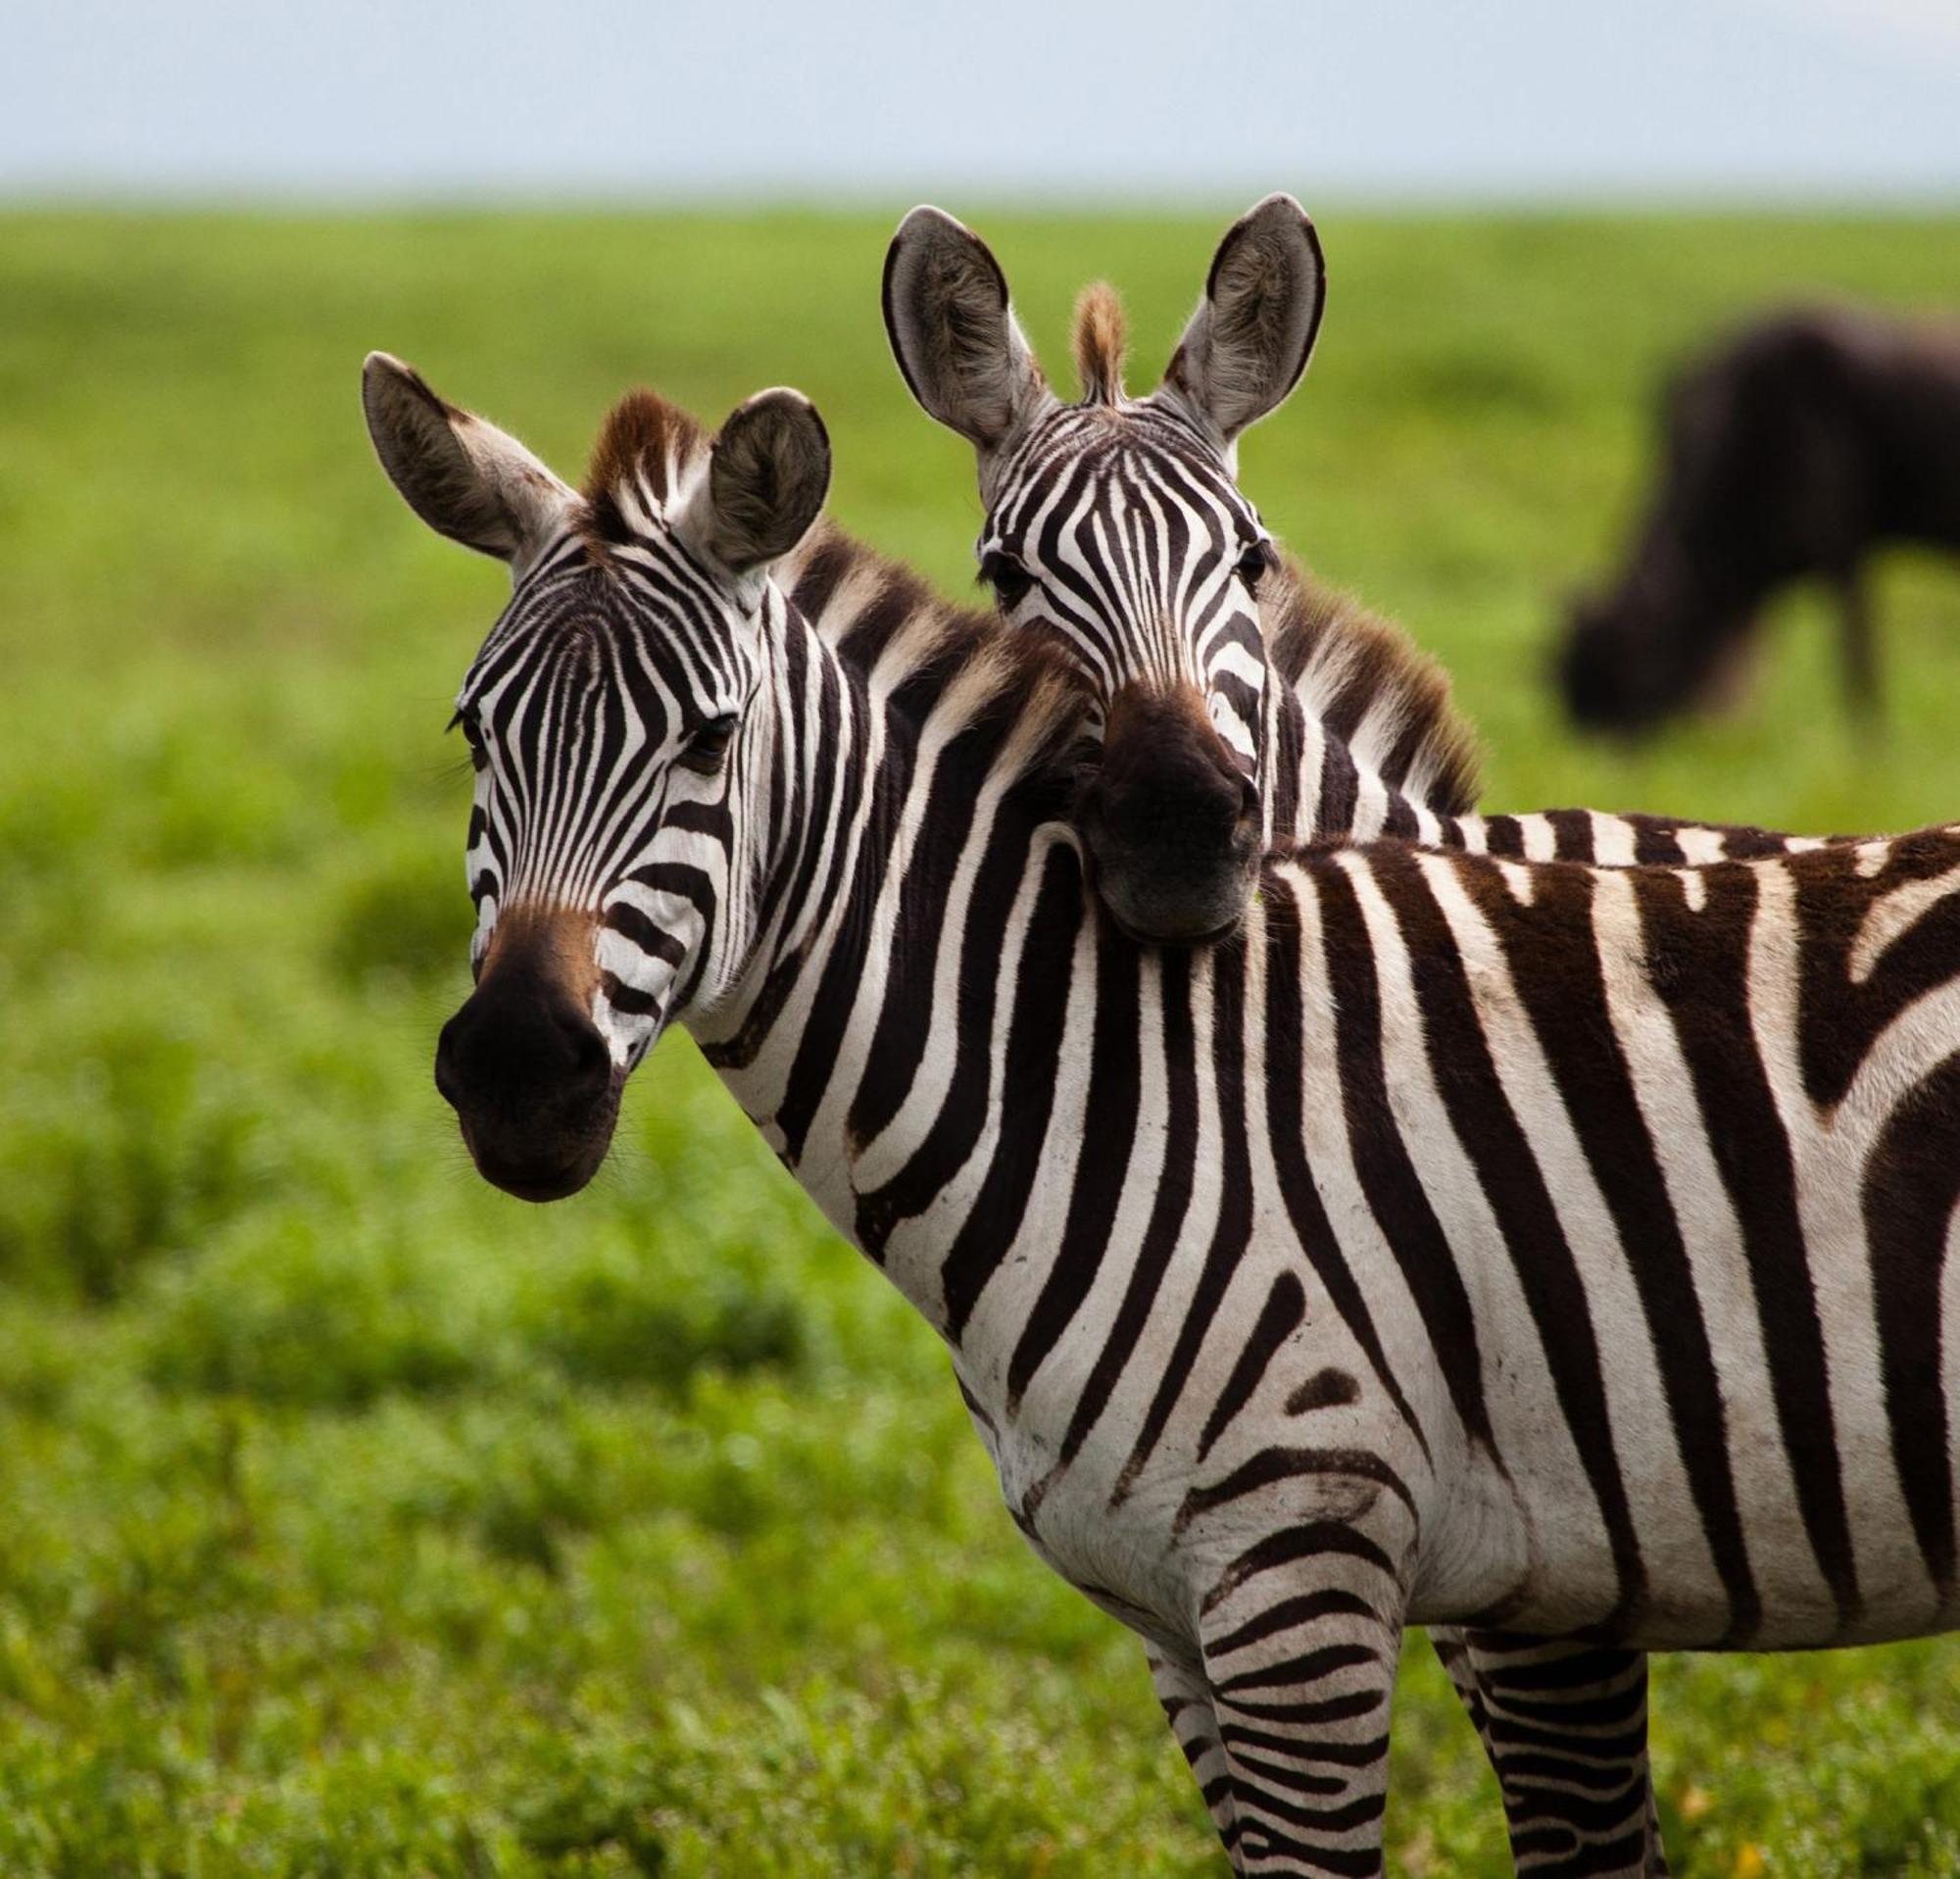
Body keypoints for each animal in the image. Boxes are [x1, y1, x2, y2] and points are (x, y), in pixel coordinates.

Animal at [357, 361, 1960, 1879]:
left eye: (709, 738)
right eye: (471, 731)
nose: (516, 1071)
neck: (1128, 1077)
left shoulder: (1319, 1570)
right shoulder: (1177, 1615)